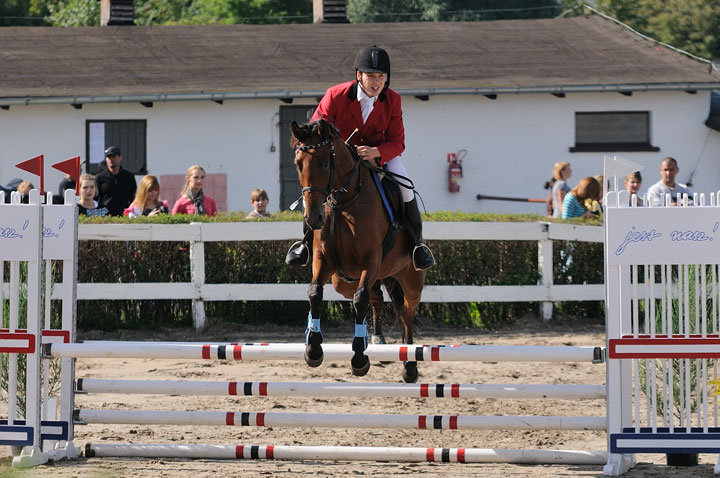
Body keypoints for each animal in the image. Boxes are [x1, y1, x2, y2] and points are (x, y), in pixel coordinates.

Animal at [290, 117, 424, 382]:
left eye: (325, 163)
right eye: (298, 164)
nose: (313, 218)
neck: (343, 202)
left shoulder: (371, 260)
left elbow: (360, 300)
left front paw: (360, 359)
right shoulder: (323, 260)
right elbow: (314, 292)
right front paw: (313, 349)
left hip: (411, 279)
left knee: (405, 309)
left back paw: (409, 364)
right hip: (345, 280)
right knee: (377, 296)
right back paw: (379, 342)